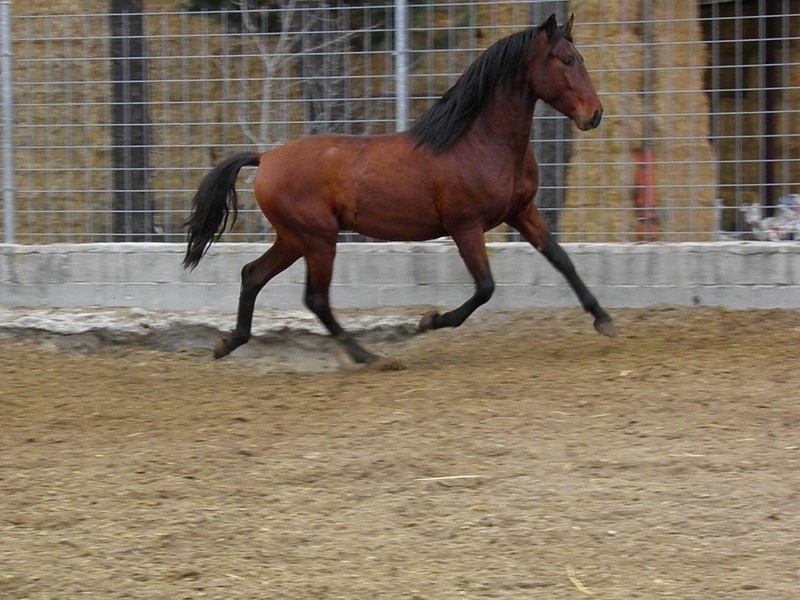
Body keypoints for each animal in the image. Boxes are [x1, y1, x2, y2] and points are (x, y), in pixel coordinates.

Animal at [183, 13, 618, 364]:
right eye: (566, 60)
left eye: (578, 58)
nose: (594, 114)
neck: (479, 141)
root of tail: (266, 158)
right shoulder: (465, 226)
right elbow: (485, 288)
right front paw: (428, 321)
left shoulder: (522, 212)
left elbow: (562, 260)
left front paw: (604, 319)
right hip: (318, 239)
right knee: (315, 298)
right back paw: (367, 357)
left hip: (294, 238)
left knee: (253, 275)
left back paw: (228, 343)